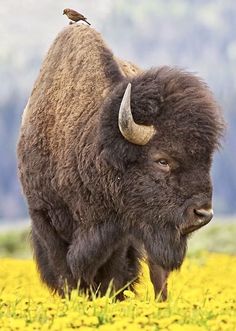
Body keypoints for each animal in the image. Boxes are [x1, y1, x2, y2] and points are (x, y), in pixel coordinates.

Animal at [17, 25, 224, 300]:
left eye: (206, 159)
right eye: (162, 160)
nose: (203, 214)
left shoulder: (121, 232)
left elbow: (113, 277)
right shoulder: (45, 220)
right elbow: (65, 275)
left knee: (159, 277)